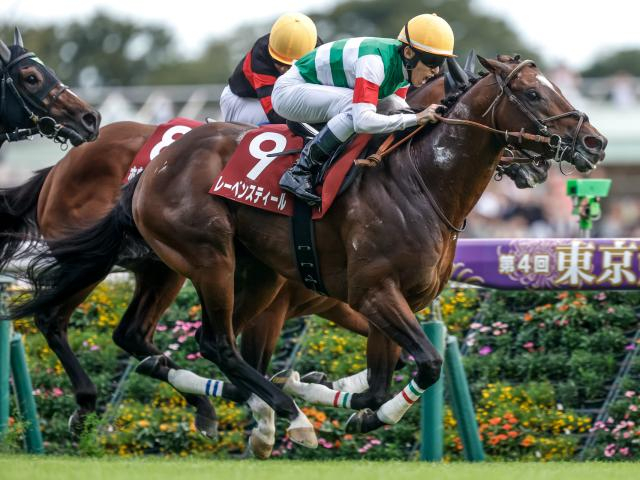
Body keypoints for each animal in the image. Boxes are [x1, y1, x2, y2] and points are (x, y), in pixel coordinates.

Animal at [11, 55, 606, 451]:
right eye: (533, 95)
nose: (594, 142)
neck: (419, 182)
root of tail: (152, 166)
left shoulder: (381, 300)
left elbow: (384, 376)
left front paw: (335, 396)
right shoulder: (370, 292)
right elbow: (428, 361)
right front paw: (295, 404)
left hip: (207, 270)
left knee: (143, 335)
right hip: (208, 259)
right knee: (205, 340)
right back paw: (280, 414)